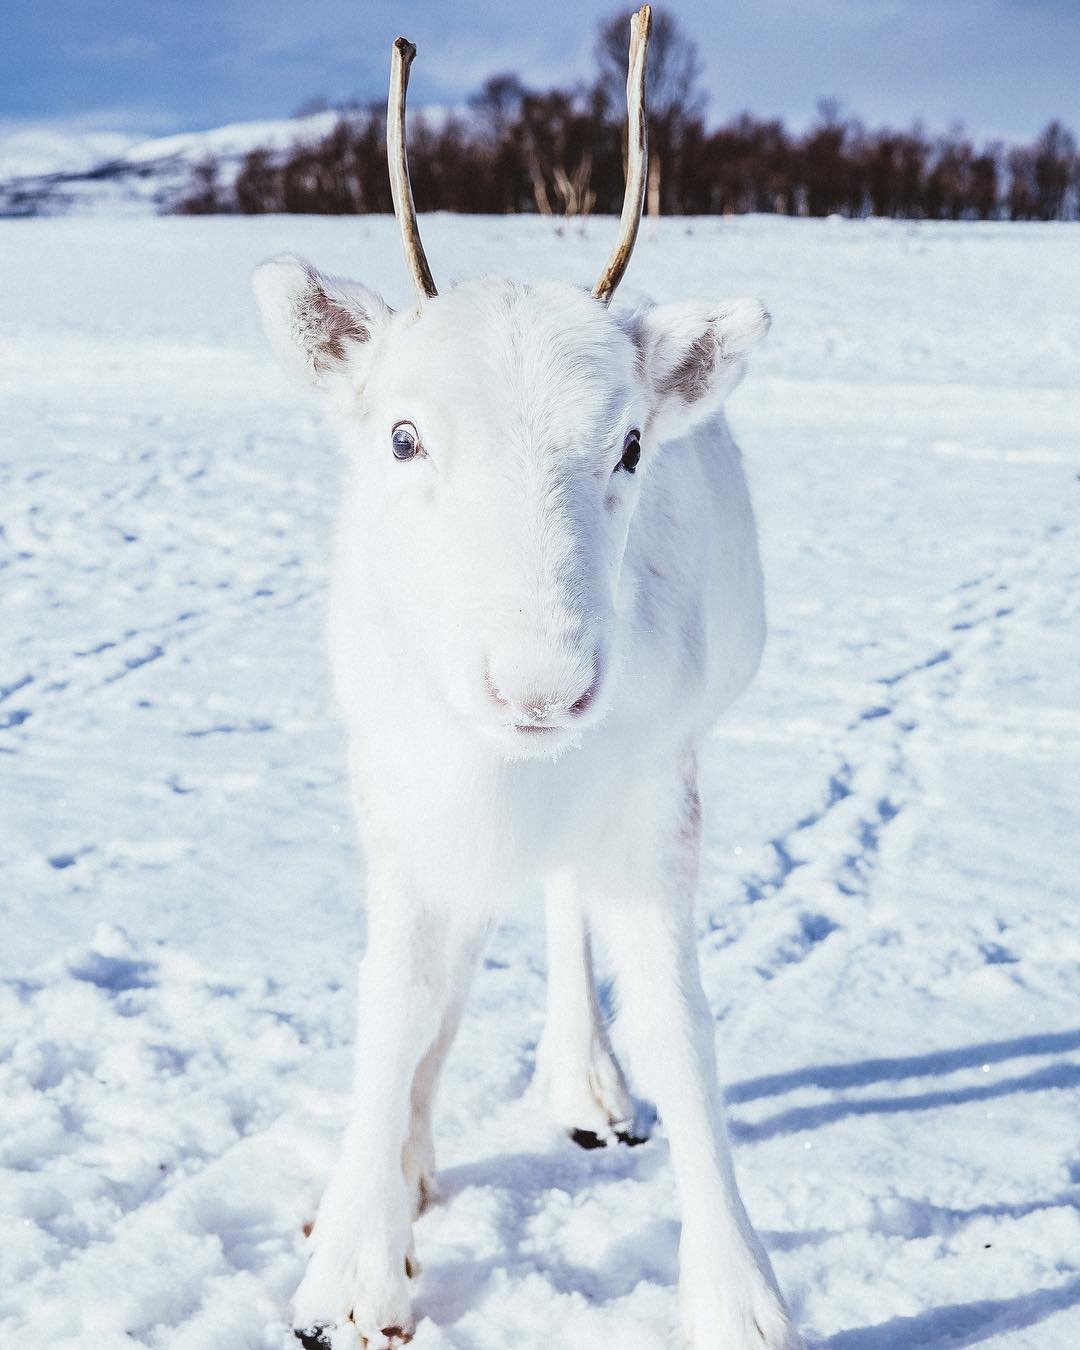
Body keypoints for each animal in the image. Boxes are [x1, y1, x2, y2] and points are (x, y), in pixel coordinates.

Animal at [255, 10, 799, 1350]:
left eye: (631, 444)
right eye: (404, 436)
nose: (541, 689)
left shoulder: (655, 792)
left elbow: (680, 1023)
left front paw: (739, 1293)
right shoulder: (400, 785)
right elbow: (399, 995)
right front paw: (356, 1261)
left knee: (558, 910)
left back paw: (583, 1083)